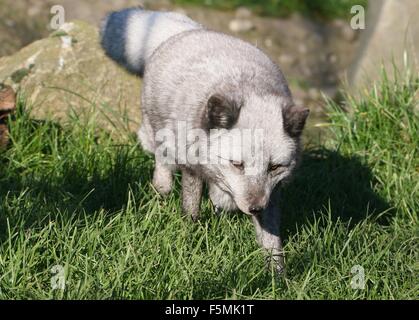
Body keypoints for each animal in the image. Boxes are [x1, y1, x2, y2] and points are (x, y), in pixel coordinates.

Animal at [100, 7, 310, 272]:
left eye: (274, 167)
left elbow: (271, 238)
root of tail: (193, 31)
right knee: (162, 165)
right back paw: (161, 191)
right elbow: (191, 210)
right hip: (157, 137)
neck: (249, 90)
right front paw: (188, 240)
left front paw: (276, 273)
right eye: (237, 164)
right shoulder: (191, 165)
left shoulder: (272, 193)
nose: (255, 208)